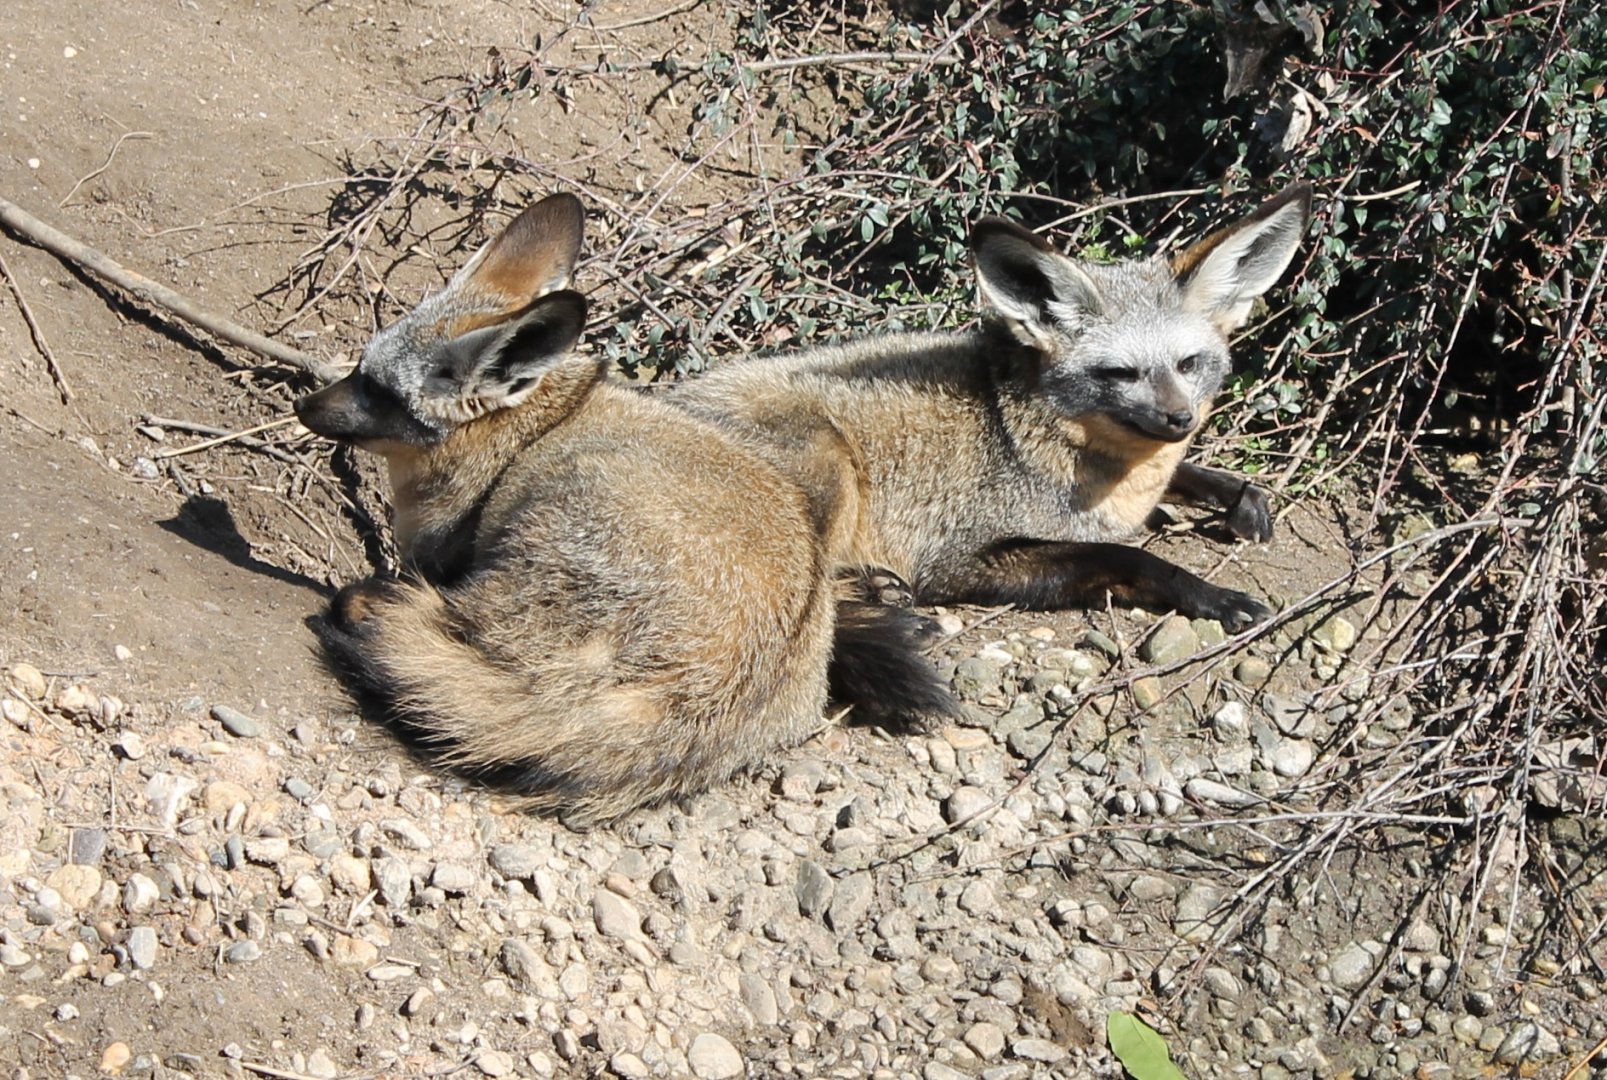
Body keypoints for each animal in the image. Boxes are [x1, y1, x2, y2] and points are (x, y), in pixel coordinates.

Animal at [293, 193, 950, 824]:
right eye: (360, 368)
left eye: (377, 391)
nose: (302, 406)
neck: (527, 430)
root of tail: (706, 702)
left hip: (547, 522)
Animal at [670, 184, 1312, 632]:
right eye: (1119, 373)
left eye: (1189, 364)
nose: (1181, 420)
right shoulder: (958, 559)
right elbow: (1128, 558)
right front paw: (1211, 594)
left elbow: (1193, 477)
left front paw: (1239, 495)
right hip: (828, 463)